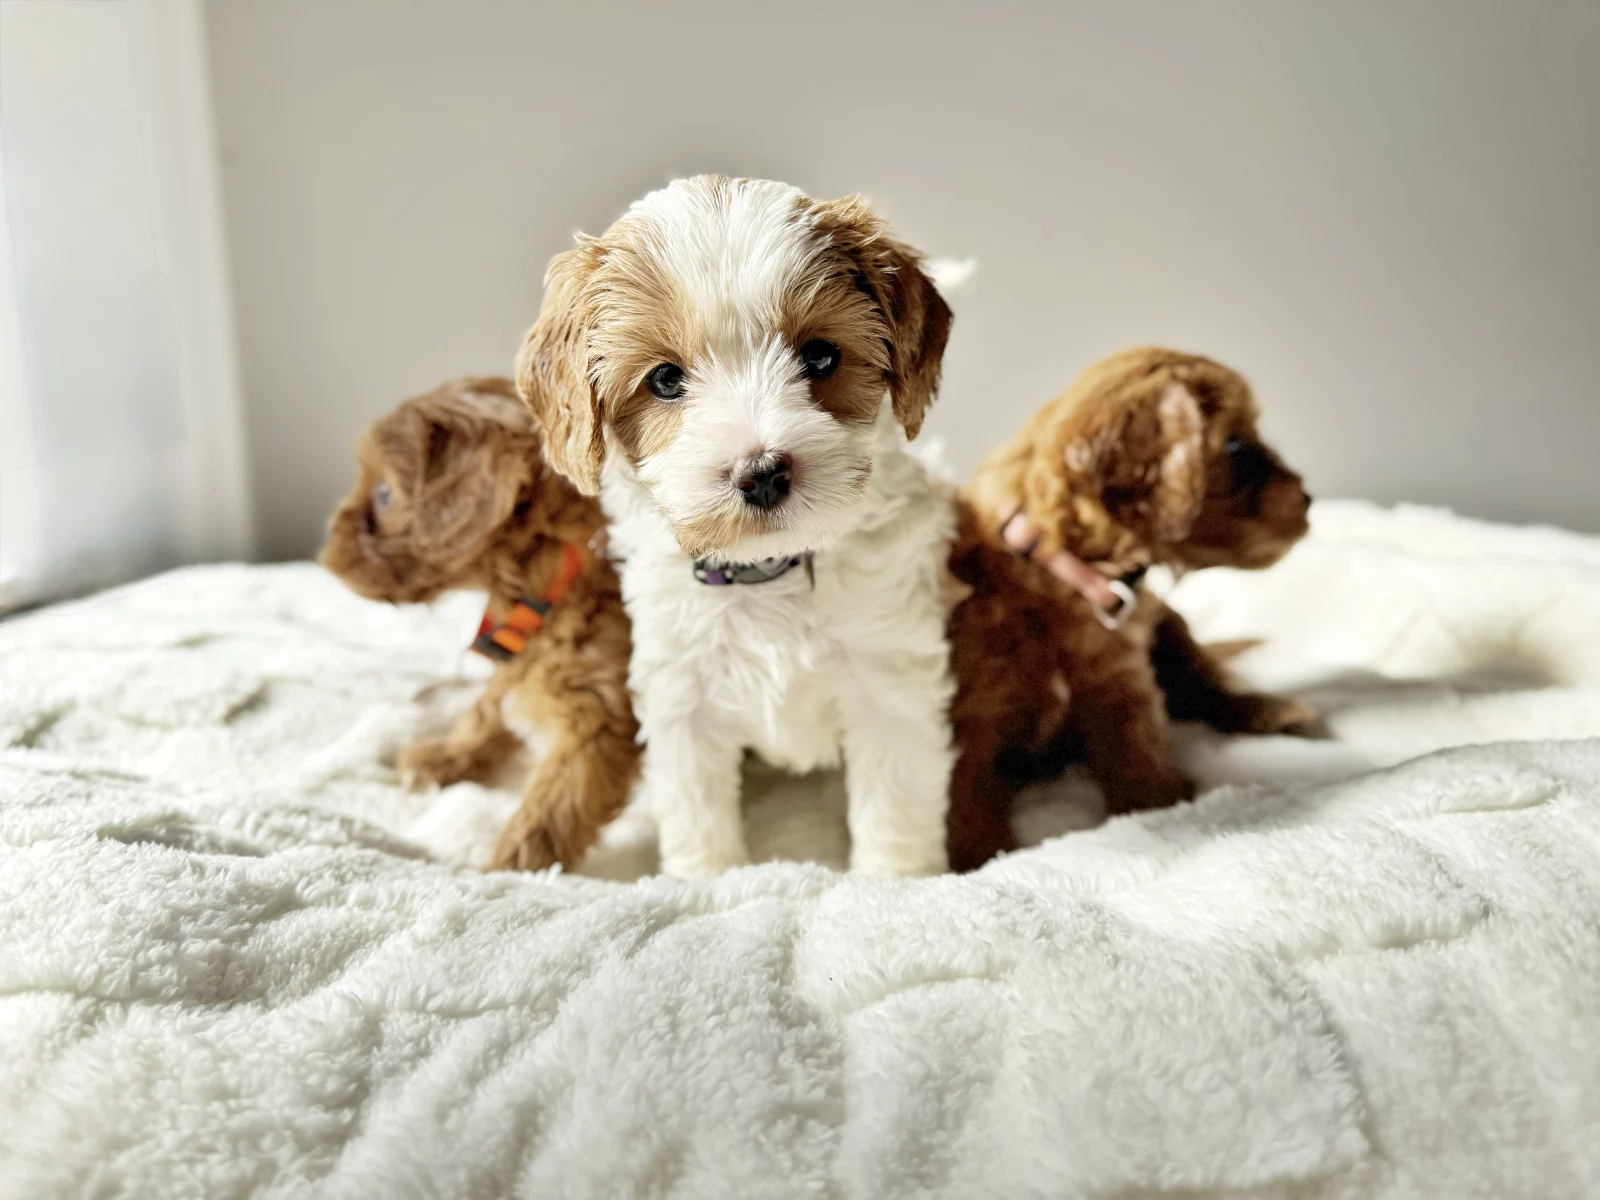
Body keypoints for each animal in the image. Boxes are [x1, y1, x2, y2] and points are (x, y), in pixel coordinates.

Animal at [319, 377, 640, 872]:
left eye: (386, 494)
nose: (328, 535)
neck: (549, 583)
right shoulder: (516, 661)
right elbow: (485, 709)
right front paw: (448, 755)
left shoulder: (600, 717)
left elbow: (555, 801)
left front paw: (510, 867)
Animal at [515, 175, 958, 877]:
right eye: (666, 379)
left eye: (820, 356)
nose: (762, 473)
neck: (768, 574)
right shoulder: (682, 698)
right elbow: (698, 813)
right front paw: (708, 881)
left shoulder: (889, 680)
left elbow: (892, 810)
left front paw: (893, 884)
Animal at [945, 347, 1316, 870]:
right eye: (1236, 447)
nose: (1309, 499)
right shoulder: (966, 711)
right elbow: (966, 796)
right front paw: (977, 860)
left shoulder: (1123, 682)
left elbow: (1142, 762)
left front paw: (1162, 803)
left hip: (1172, 626)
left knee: (1204, 683)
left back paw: (1274, 711)